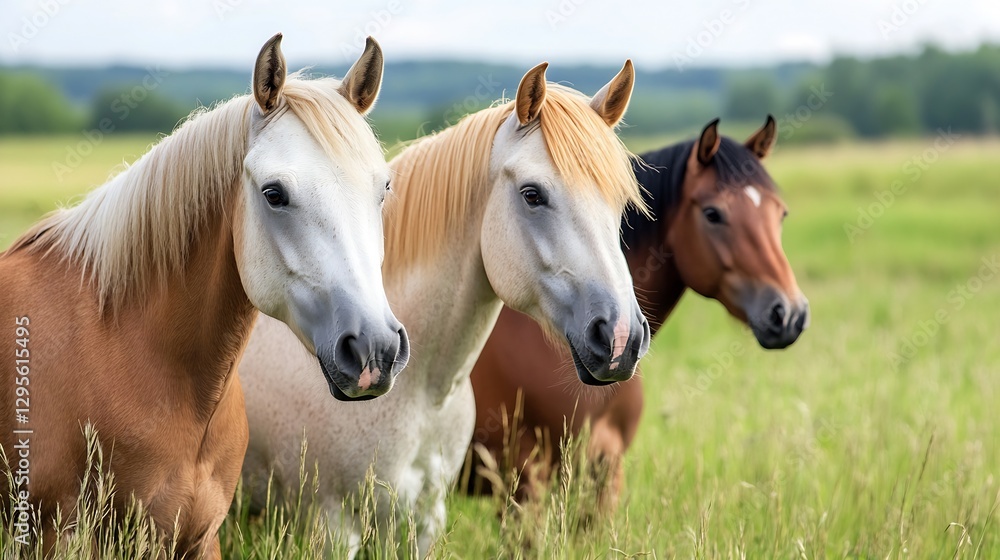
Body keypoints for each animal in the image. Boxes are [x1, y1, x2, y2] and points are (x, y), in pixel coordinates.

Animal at [240, 60, 652, 556]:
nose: (621, 337)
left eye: (621, 202)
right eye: (533, 194)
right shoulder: (331, 526)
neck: (419, 394)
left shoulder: (423, 520)